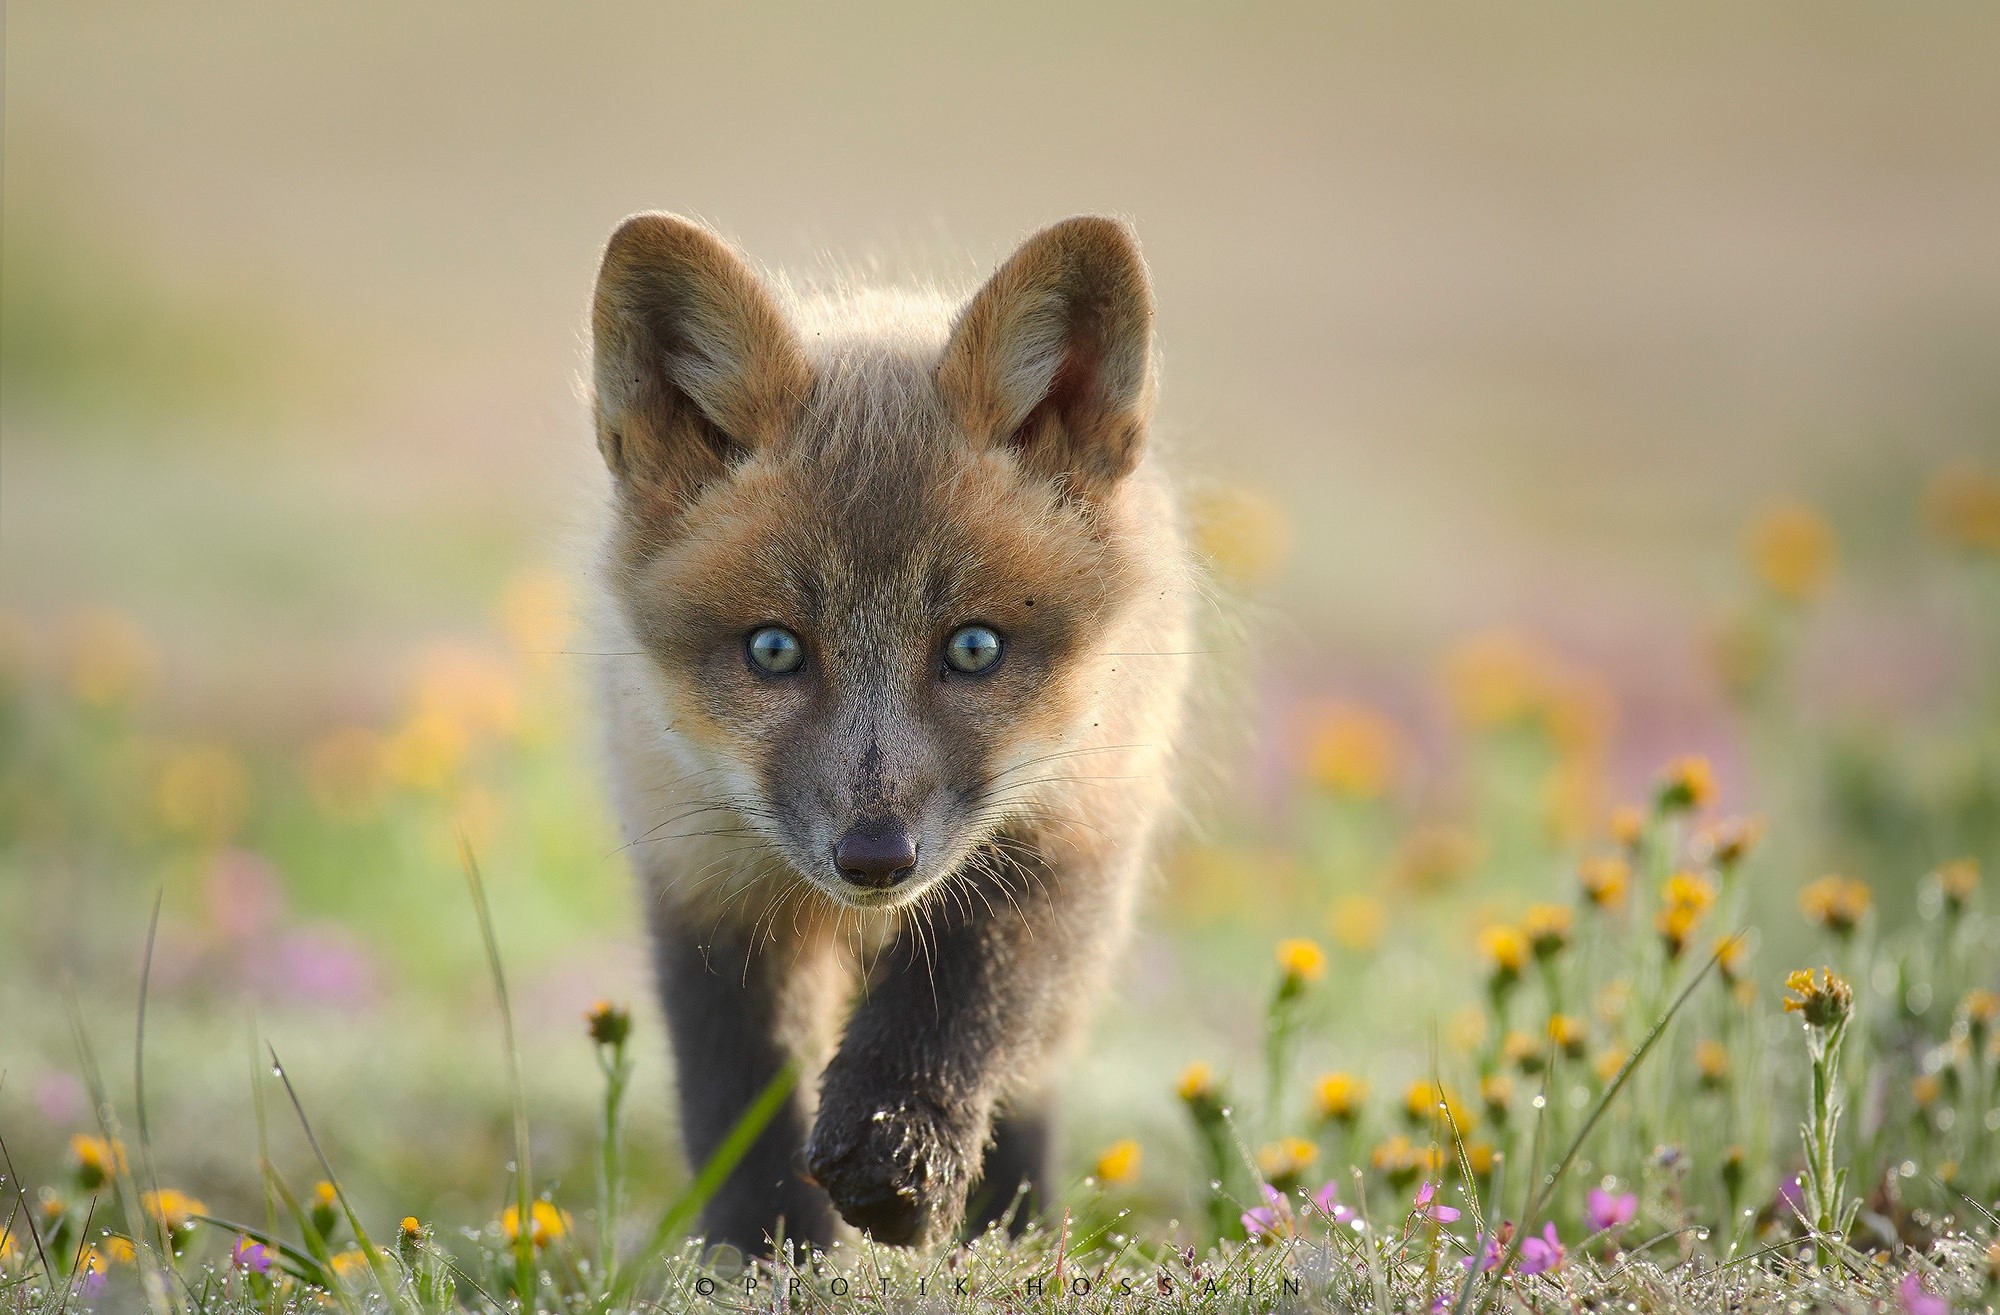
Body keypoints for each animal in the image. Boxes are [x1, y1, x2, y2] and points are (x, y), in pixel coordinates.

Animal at [585, 212, 1195, 1254]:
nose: (875, 857)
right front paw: (765, 1253)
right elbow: (738, 1092)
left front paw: (897, 1155)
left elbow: (964, 1000)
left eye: (975, 647)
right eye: (775, 648)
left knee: (1032, 1073)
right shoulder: (705, 877)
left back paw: (1014, 1236)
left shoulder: (1068, 829)